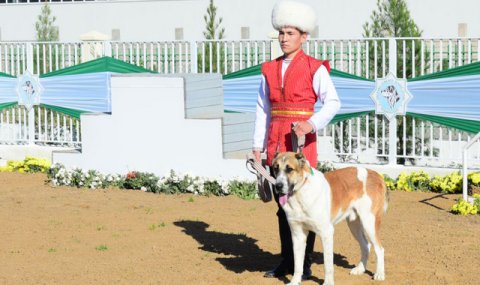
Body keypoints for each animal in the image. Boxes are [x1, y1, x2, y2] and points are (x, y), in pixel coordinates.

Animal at [272, 152, 388, 284]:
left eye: (289, 169)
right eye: (275, 168)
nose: (278, 186)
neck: (301, 192)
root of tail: (376, 175)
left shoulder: (326, 232)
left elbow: (327, 264)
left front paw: (328, 282)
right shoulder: (297, 235)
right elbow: (297, 264)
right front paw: (295, 281)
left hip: (369, 223)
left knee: (379, 249)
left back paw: (379, 274)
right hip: (354, 225)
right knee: (366, 245)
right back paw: (360, 269)